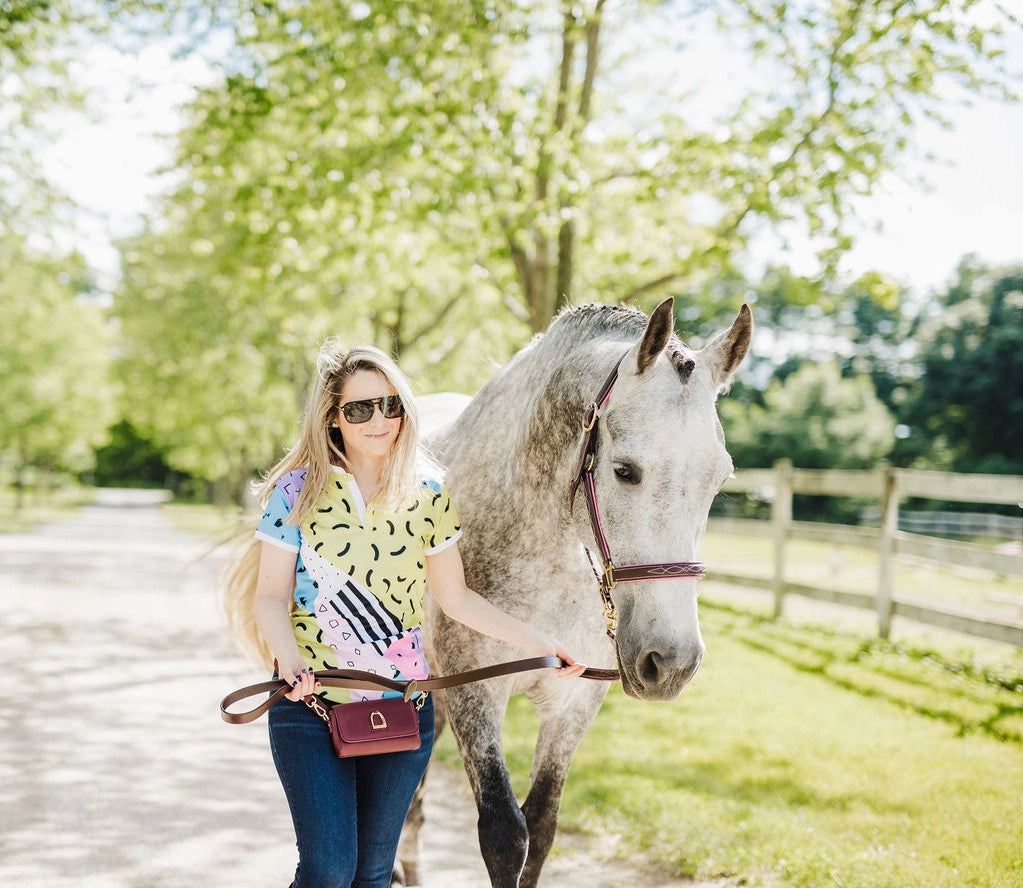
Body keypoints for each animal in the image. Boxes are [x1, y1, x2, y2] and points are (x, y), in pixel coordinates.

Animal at [401, 298, 752, 888]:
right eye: (624, 470)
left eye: (719, 480)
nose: (672, 662)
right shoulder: (476, 693)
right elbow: (505, 832)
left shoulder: (575, 704)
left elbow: (541, 826)